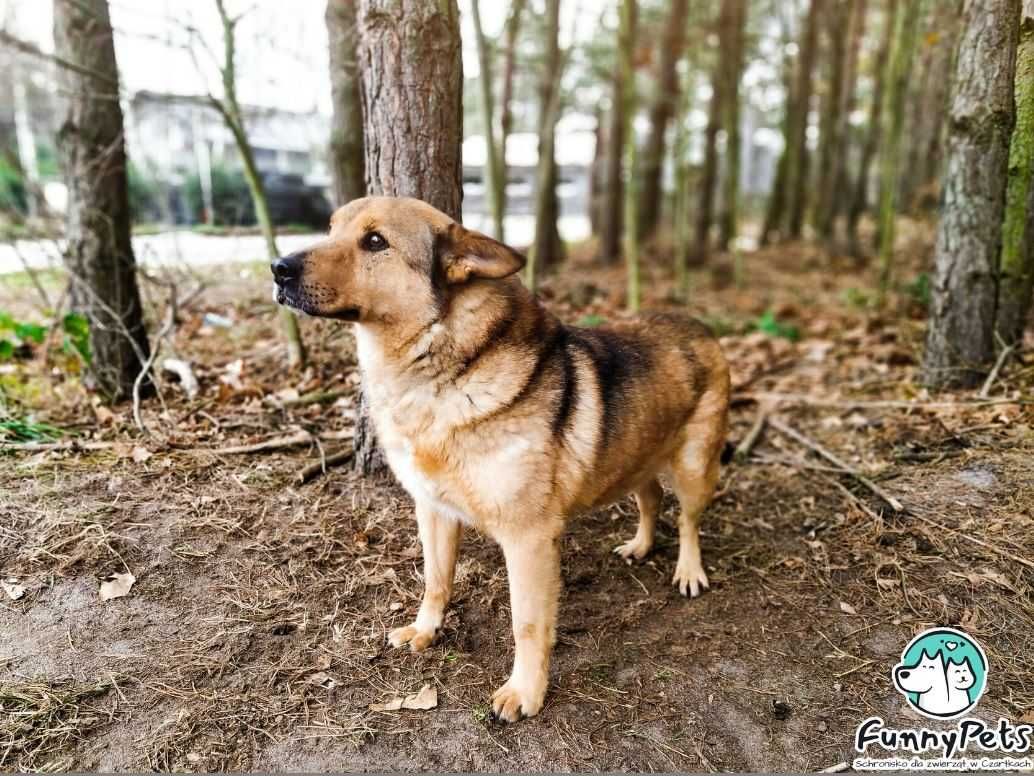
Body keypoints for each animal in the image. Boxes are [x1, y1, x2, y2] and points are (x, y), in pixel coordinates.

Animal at [270, 195, 732, 724]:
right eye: (330, 229)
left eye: (374, 241)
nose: (277, 267)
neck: (440, 370)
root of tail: (698, 324)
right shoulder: (434, 512)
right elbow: (436, 581)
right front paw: (425, 630)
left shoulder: (528, 540)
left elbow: (527, 624)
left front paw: (526, 692)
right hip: (634, 457)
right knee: (650, 497)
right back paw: (640, 545)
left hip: (694, 469)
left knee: (689, 521)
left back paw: (689, 571)